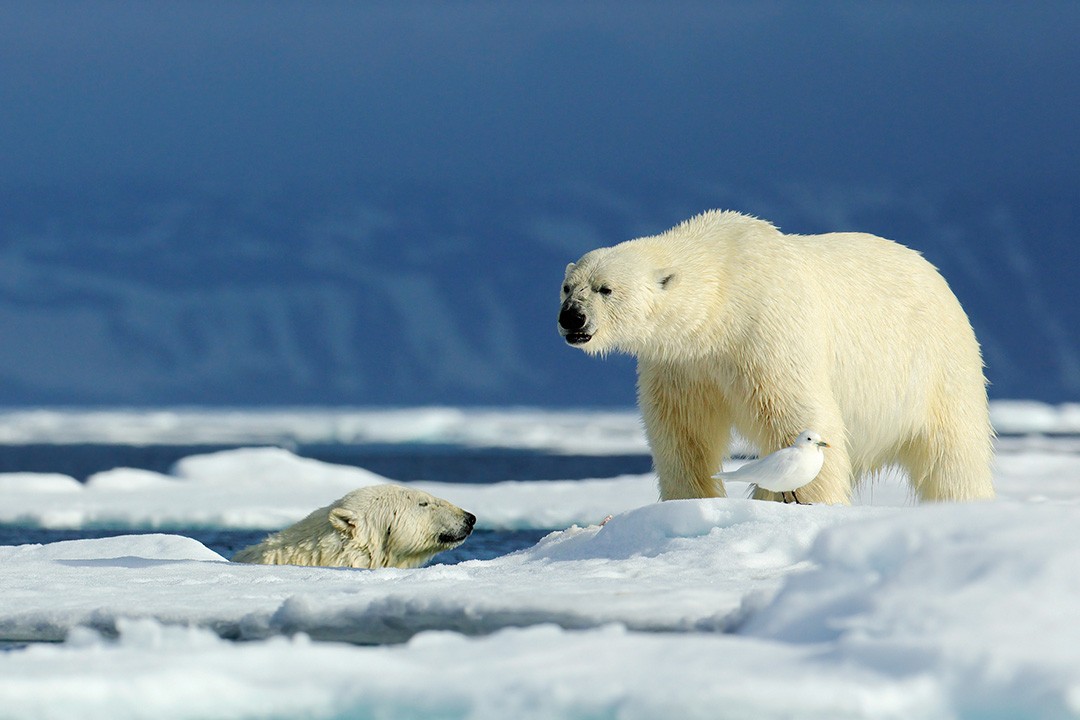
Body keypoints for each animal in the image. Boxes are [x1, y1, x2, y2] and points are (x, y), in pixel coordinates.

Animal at [565, 208, 993, 505]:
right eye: (568, 286)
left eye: (604, 288)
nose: (571, 316)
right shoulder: (683, 364)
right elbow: (684, 433)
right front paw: (691, 499)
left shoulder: (767, 332)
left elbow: (798, 418)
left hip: (939, 366)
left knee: (954, 455)